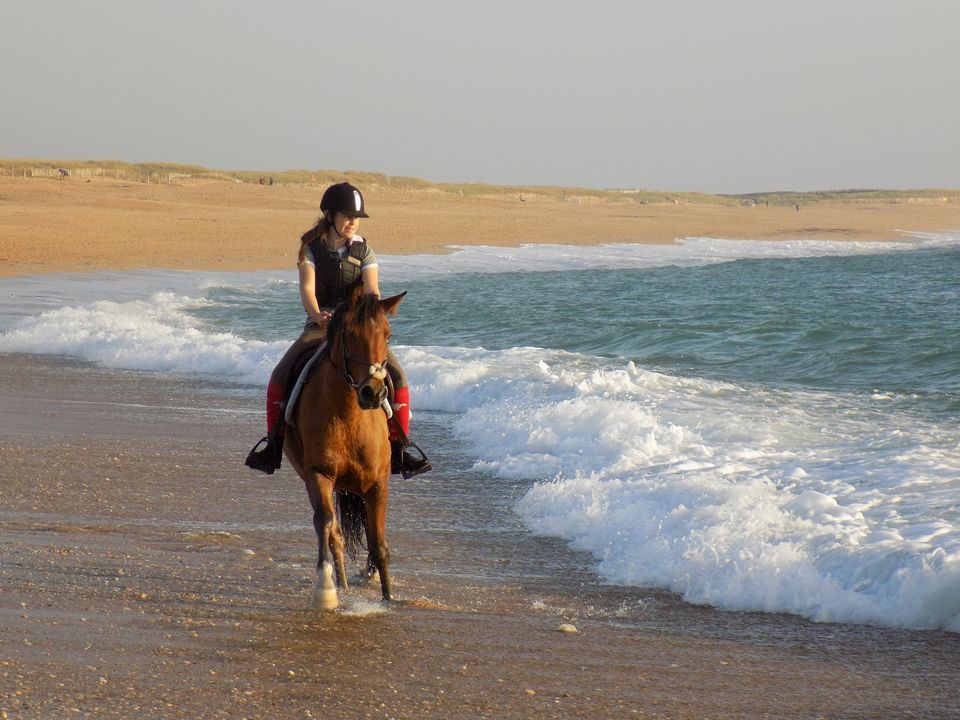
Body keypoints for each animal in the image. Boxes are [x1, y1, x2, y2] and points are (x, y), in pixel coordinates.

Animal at [284, 282, 406, 608]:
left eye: (387, 335)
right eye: (349, 333)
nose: (373, 394)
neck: (348, 415)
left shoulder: (377, 482)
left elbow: (379, 542)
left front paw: (388, 597)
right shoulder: (319, 474)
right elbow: (327, 524)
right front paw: (325, 590)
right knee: (333, 531)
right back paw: (340, 582)